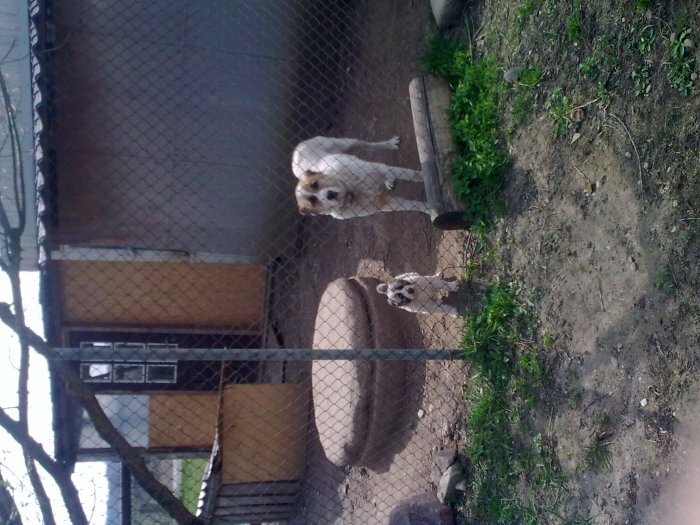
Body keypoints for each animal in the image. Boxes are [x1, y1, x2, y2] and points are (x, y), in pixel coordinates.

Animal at [292, 136, 432, 218]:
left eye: (315, 183)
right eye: (313, 201)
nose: (330, 195)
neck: (351, 190)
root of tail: (294, 156)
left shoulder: (382, 170)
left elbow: (413, 175)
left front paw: (427, 176)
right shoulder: (383, 204)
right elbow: (412, 205)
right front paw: (429, 209)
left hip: (347, 143)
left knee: (367, 145)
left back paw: (390, 144)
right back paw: (388, 181)